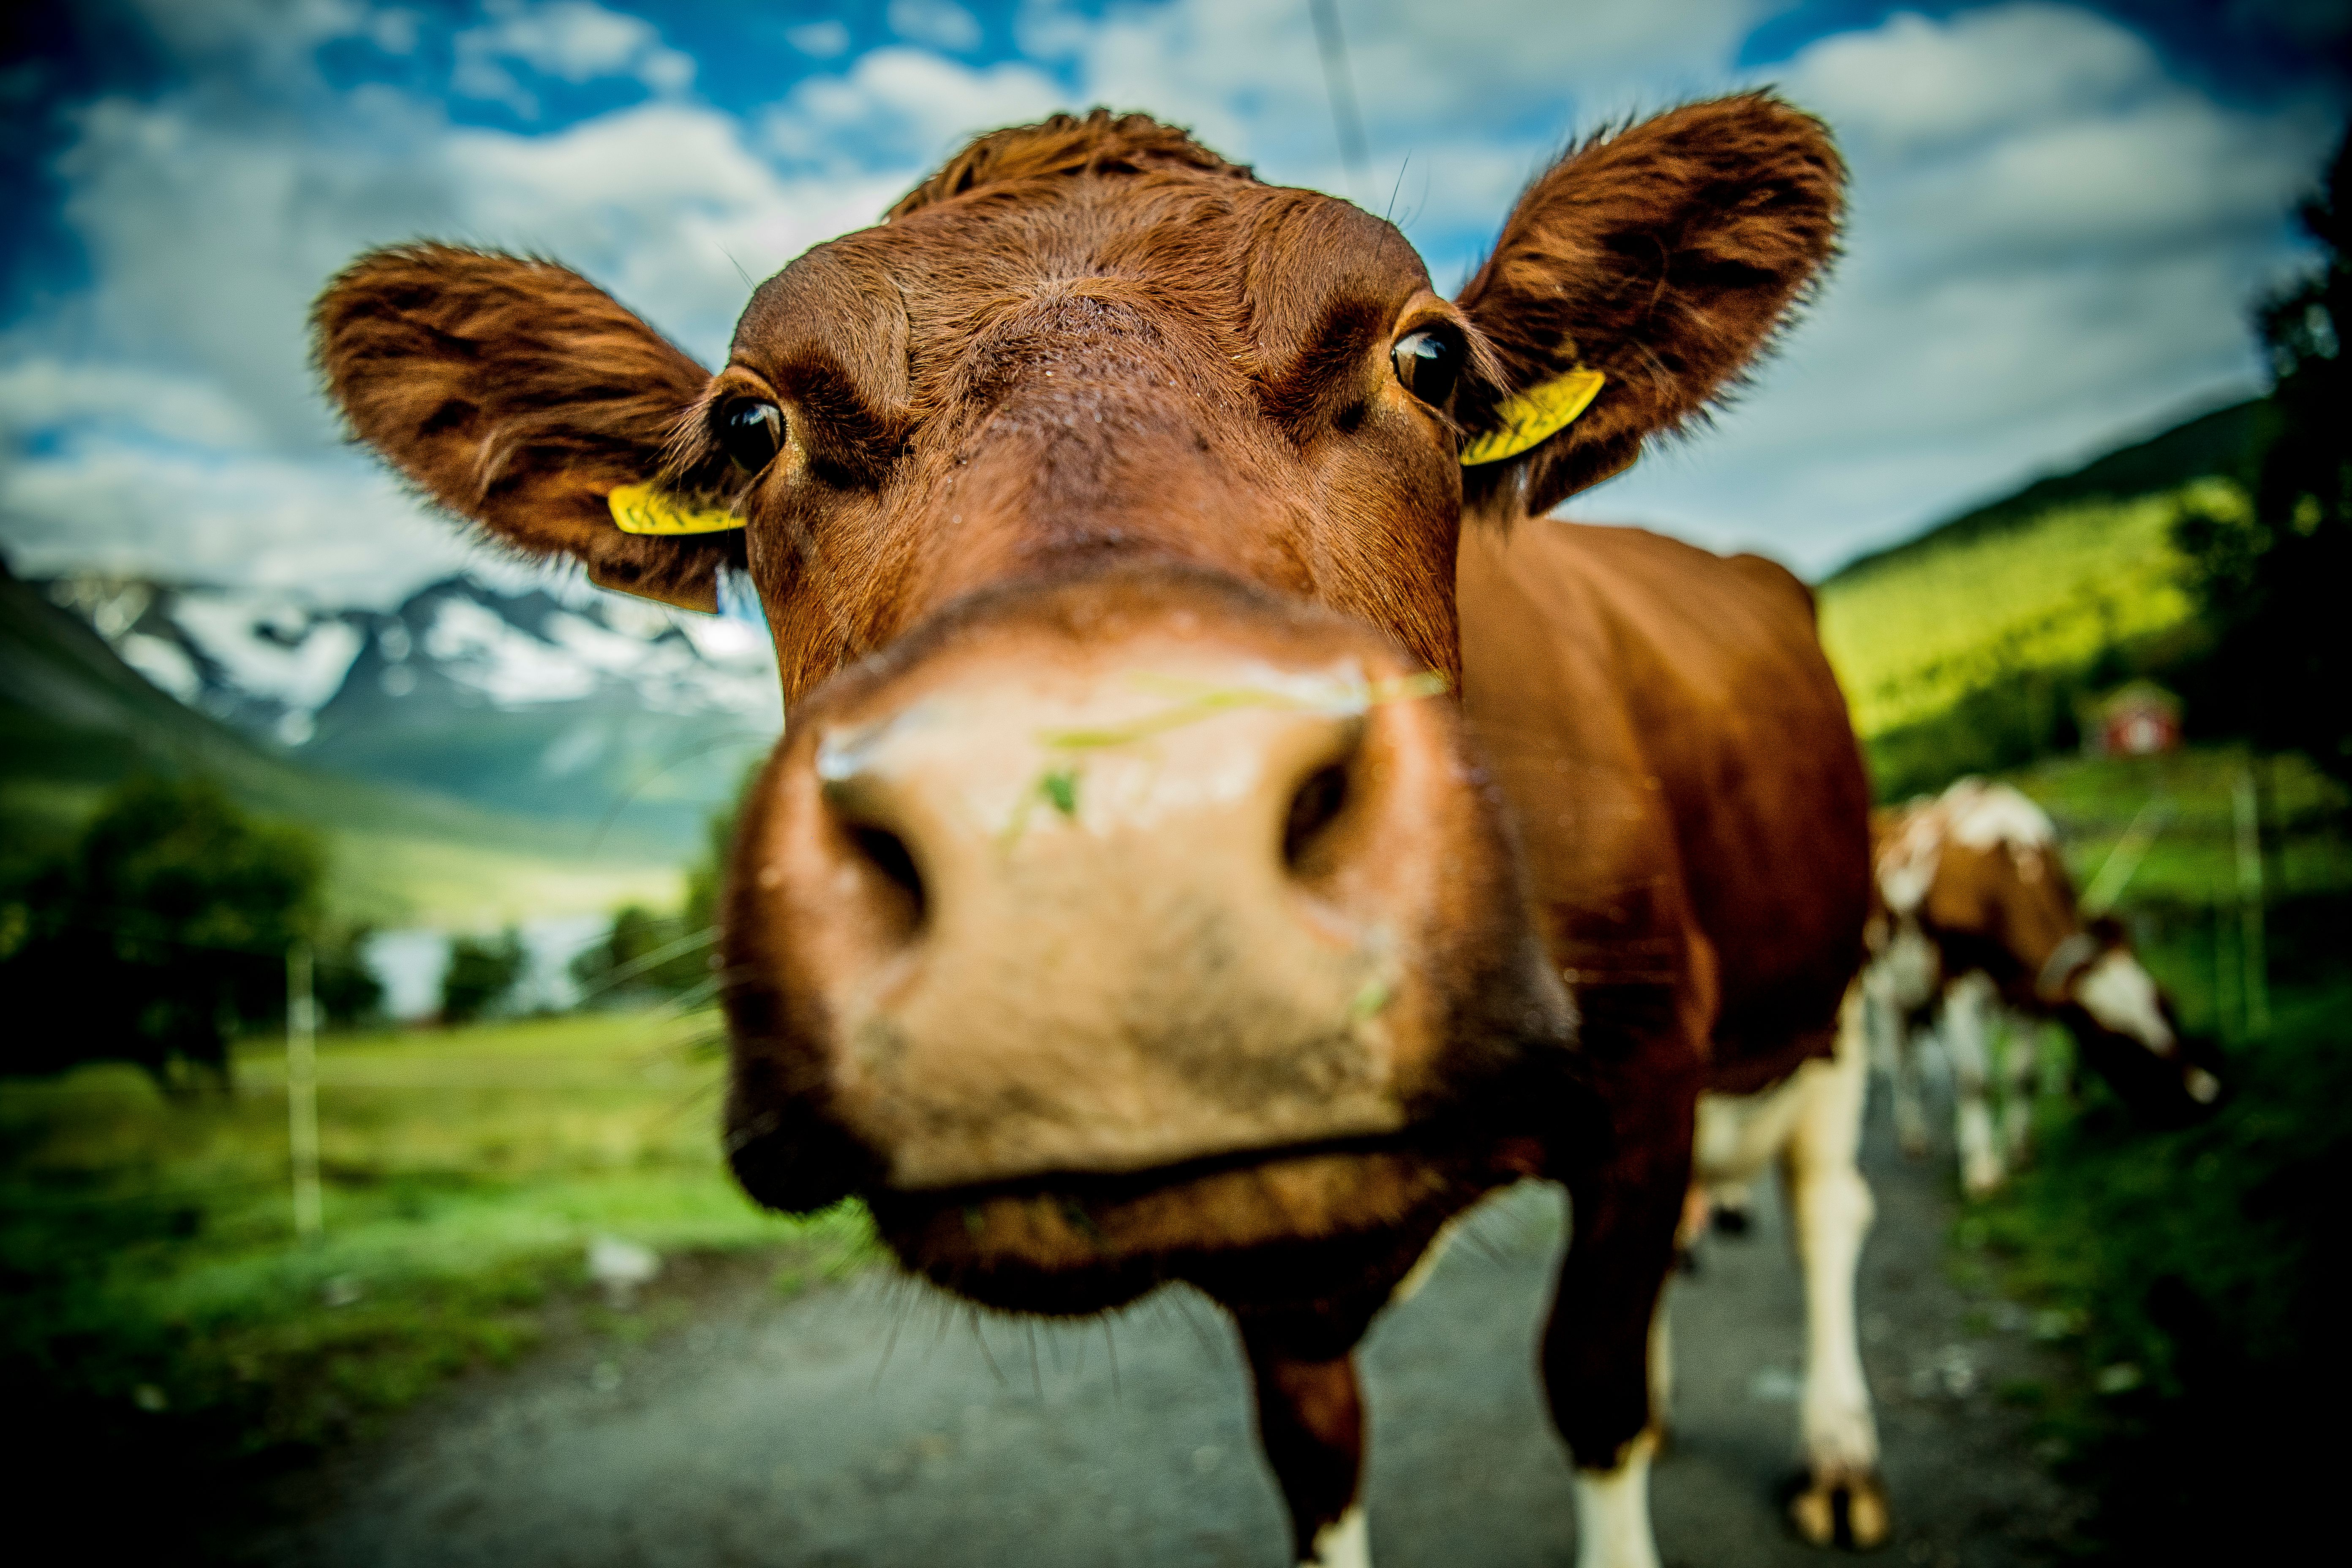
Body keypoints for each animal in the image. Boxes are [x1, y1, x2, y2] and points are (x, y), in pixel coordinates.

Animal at [313, 100, 1870, 1567]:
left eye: (1428, 359)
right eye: (752, 428)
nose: (1112, 845)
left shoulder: (1649, 1069)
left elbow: (1595, 1389)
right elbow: (1318, 1457)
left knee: (1824, 1202)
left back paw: (1840, 1455)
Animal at [1864, 778, 2223, 1194]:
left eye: (2169, 1004)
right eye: (2114, 1041)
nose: (2205, 1095)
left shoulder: (2031, 993)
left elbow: (2024, 1078)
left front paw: (2021, 1155)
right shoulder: (1959, 985)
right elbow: (1976, 1080)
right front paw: (1985, 1172)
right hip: (1888, 989)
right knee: (1902, 1057)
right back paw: (1914, 1136)